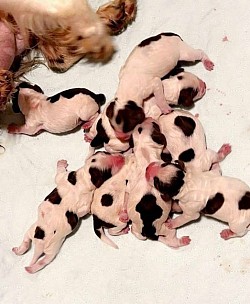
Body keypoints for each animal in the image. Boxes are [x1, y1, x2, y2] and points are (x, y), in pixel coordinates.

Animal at [126, 117, 190, 248]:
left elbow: (128, 189)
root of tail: (149, 232)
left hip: (136, 229)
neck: (145, 154)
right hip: (167, 228)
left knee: (137, 233)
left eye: (138, 126)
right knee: (171, 240)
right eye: (155, 125)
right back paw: (182, 241)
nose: (148, 117)